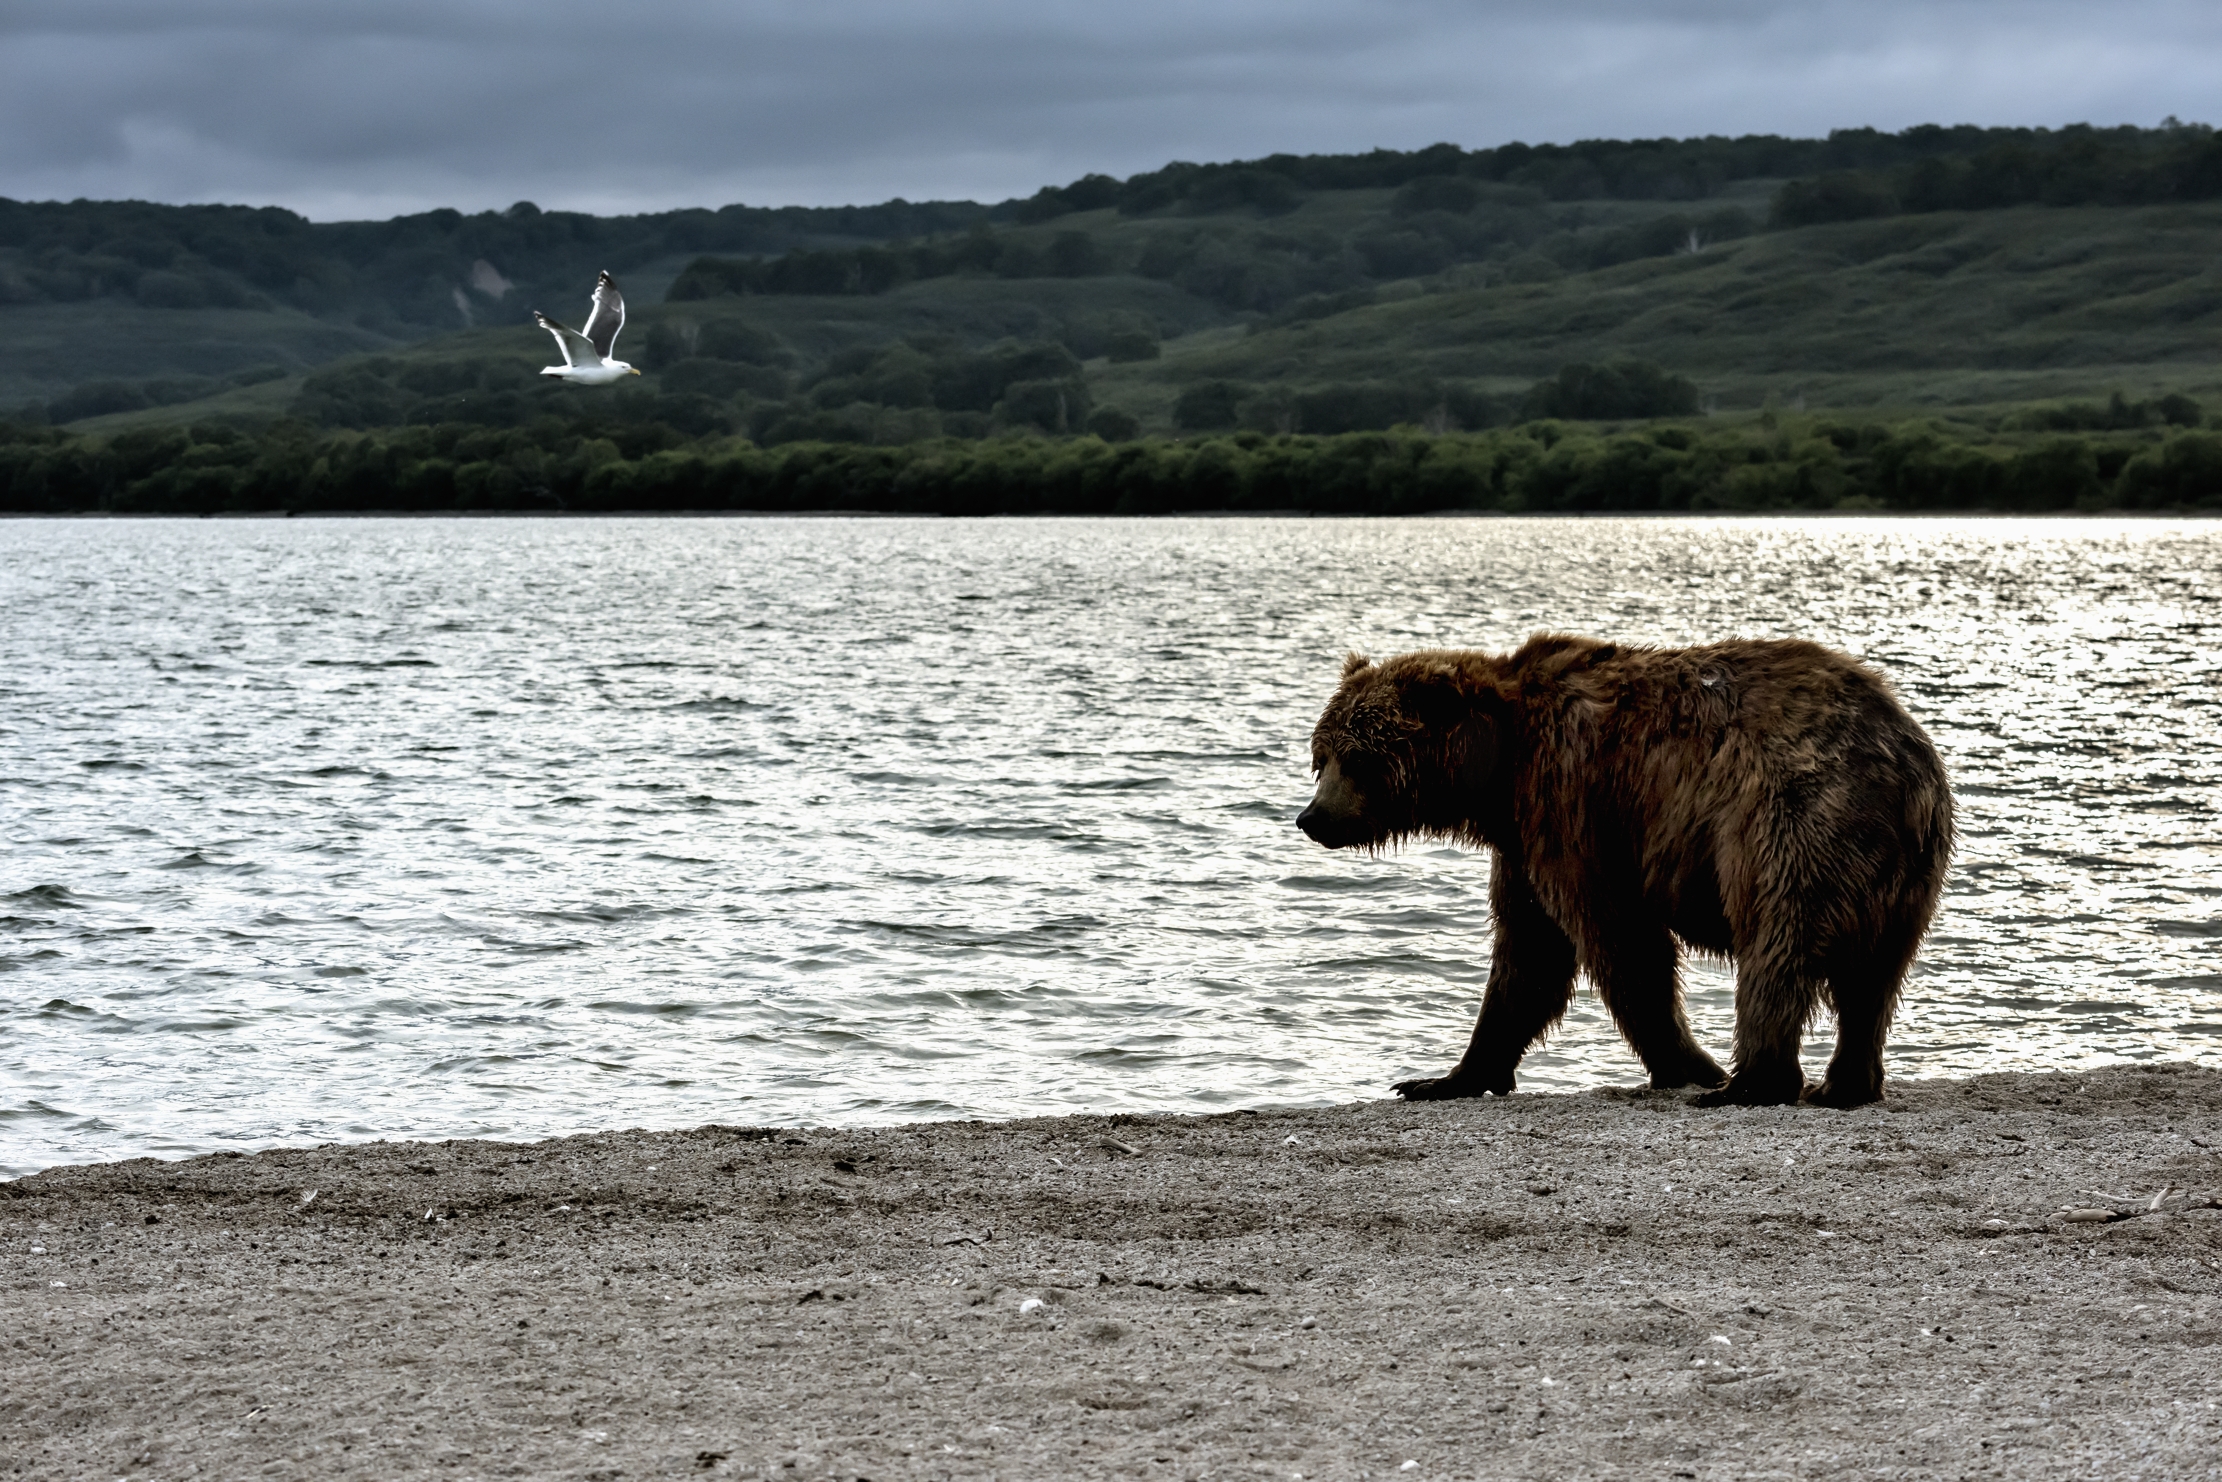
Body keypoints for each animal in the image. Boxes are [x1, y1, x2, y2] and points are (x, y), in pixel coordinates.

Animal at [1297, 631, 1955, 1106]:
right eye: (1321, 756)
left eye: (1359, 758)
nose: (1312, 817)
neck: (1497, 770)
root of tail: (1910, 764)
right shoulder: (1522, 842)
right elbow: (1526, 952)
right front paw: (1444, 1077)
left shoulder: (1576, 803)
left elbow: (1616, 942)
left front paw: (1687, 1066)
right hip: (1905, 876)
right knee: (1873, 980)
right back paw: (1843, 1084)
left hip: (1793, 817)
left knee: (1777, 944)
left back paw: (1746, 1083)